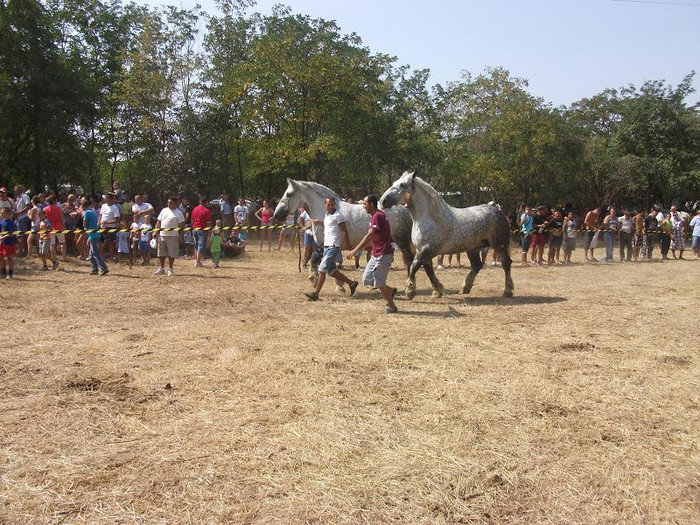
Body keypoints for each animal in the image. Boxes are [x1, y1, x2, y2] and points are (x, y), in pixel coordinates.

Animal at [380, 172, 512, 298]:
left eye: (403, 185)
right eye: (395, 182)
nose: (383, 201)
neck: (430, 219)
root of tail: (497, 211)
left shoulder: (428, 249)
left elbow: (414, 266)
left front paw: (410, 291)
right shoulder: (421, 250)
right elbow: (428, 269)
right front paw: (437, 290)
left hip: (499, 245)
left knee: (506, 263)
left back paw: (507, 291)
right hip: (473, 248)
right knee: (476, 265)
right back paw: (465, 287)